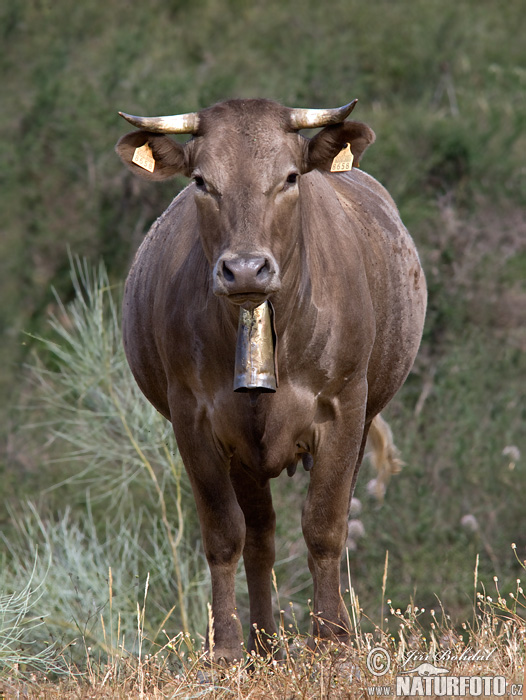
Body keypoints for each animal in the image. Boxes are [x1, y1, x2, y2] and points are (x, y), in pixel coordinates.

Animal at [116, 98, 428, 660]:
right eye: (202, 180)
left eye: (288, 177)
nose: (244, 269)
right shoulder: (194, 419)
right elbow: (224, 534)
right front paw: (225, 651)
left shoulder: (344, 407)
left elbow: (325, 525)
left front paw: (332, 644)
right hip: (245, 452)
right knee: (259, 536)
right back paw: (263, 645)